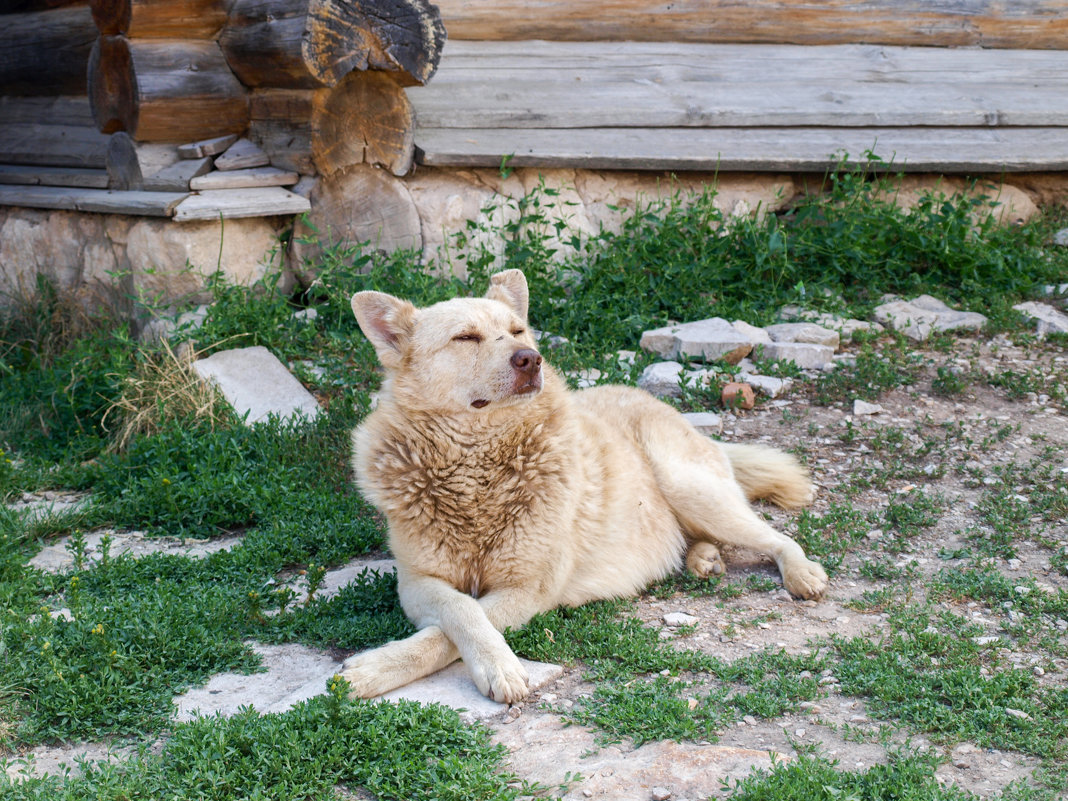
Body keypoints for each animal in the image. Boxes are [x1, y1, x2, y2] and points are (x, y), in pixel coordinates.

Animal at [341, 270, 824, 700]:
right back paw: (703, 558)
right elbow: (460, 611)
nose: (530, 359)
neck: (477, 469)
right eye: (465, 338)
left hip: (691, 488)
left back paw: (800, 572)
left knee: (776, 537)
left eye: (517, 331)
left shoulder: (529, 589)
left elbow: (452, 630)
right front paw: (381, 668)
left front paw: (491, 668)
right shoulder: (416, 582)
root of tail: (659, 404)